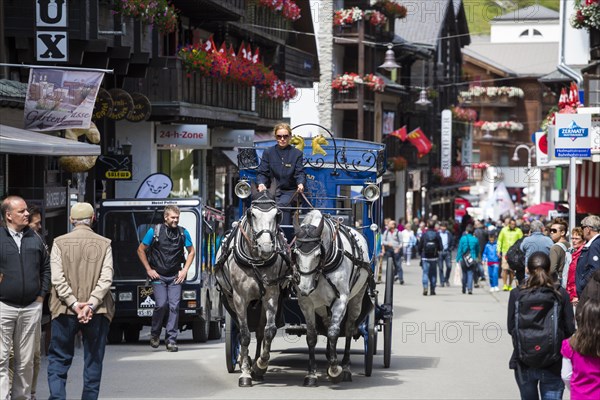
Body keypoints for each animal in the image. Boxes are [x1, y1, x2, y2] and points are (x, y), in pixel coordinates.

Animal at [216, 189, 290, 386]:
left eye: (277, 215)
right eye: (252, 214)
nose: (266, 248)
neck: (256, 261)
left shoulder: (271, 294)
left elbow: (269, 331)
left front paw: (260, 365)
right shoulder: (239, 298)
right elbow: (243, 334)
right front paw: (245, 372)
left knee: (260, 330)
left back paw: (256, 364)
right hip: (230, 301)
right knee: (241, 329)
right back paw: (245, 360)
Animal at [290, 211, 370, 386]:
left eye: (318, 254)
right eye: (295, 254)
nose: (304, 288)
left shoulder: (341, 300)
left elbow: (334, 332)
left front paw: (335, 369)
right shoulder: (306, 303)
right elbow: (311, 336)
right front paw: (311, 374)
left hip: (357, 299)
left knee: (348, 328)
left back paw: (345, 367)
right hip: (321, 305)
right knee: (327, 323)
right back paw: (329, 355)